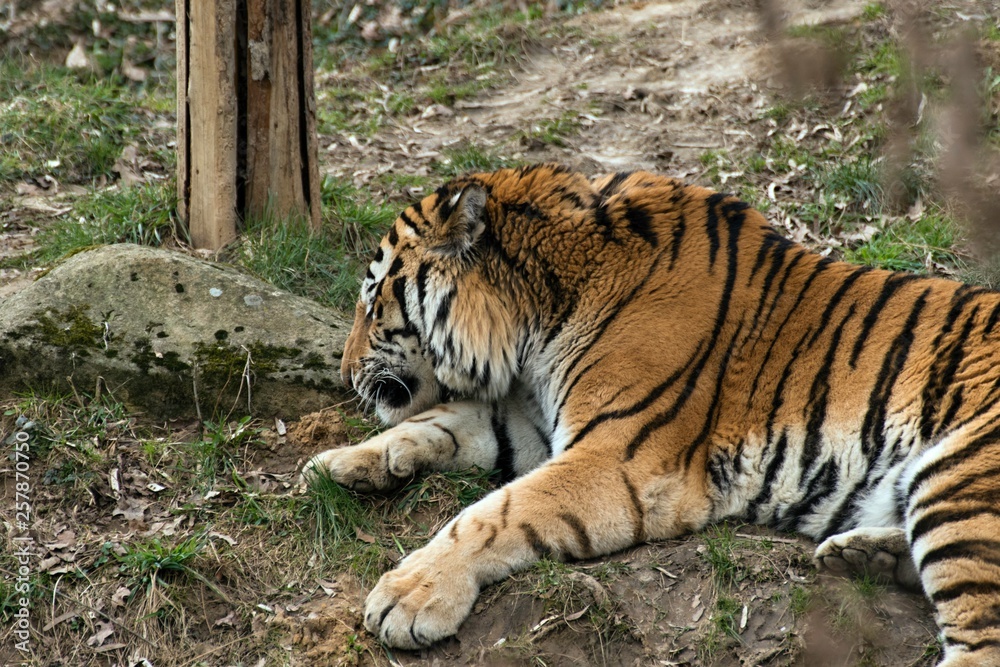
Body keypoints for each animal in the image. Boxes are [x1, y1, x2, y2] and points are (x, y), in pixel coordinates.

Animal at [300, 163, 1000, 667]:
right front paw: (337, 464)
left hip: (959, 477)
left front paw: (409, 595)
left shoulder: (623, 458)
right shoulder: (541, 424)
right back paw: (859, 556)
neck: (538, 317)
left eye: (373, 302)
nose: (343, 373)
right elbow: (443, 424)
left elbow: (493, 513)